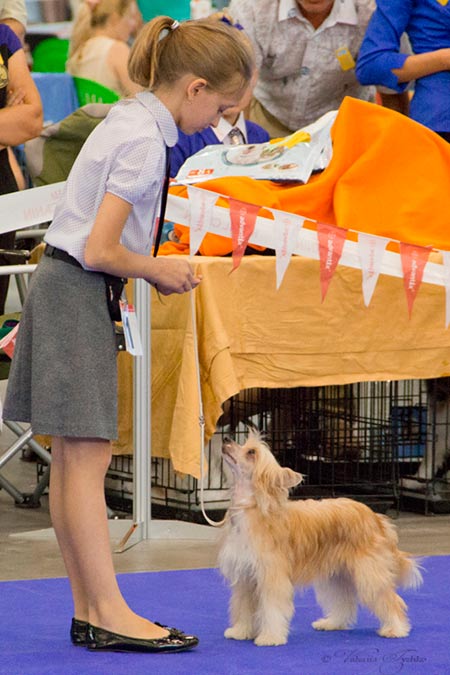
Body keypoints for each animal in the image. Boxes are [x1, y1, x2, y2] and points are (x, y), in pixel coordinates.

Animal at [218, 430, 423, 646]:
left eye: (251, 452)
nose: (226, 438)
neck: (251, 508)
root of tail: (374, 516)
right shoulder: (245, 579)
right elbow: (243, 607)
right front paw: (241, 631)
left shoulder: (272, 577)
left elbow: (272, 609)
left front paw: (270, 637)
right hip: (338, 574)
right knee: (344, 601)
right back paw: (333, 623)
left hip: (369, 573)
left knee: (389, 599)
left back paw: (396, 628)